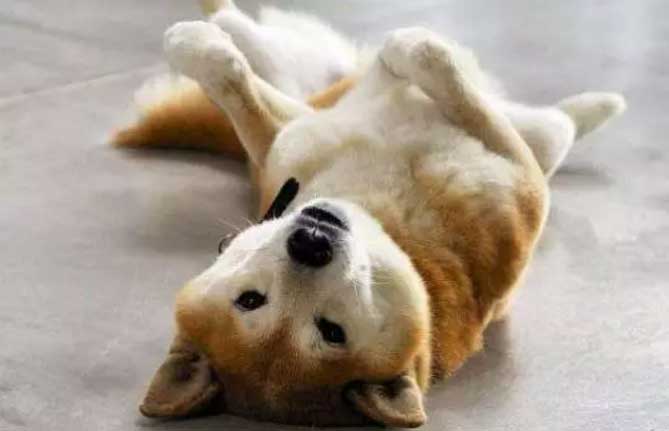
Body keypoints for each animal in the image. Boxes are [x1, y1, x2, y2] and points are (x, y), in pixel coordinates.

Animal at [115, 1, 625, 427]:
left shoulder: (290, 139)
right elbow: (436, 65)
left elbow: (239, 89)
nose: (310, 243)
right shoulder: (519, 171)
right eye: (330, 330)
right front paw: (410, 47)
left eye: (249, 300)